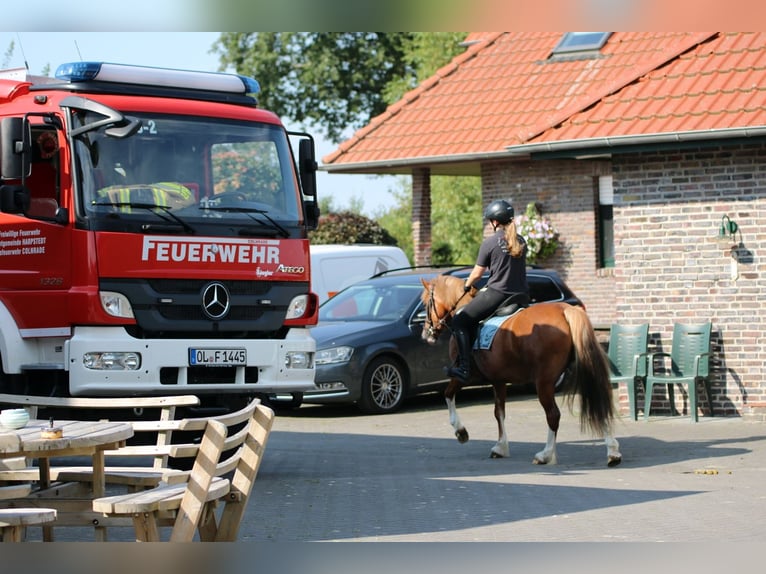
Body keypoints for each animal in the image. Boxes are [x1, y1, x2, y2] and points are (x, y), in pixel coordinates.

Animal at [420, 274, 624, 468]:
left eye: (426, 303)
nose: (425, 334)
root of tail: (565, 310)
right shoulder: (499, 380)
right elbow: (499, 412)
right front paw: (501, 447)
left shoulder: (464, 376)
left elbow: (448, 395)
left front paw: (460, 431)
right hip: (581, 371)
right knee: (597, 401)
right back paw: (613, 452)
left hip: (543, 382)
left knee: (553, 415)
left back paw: (545, 454)